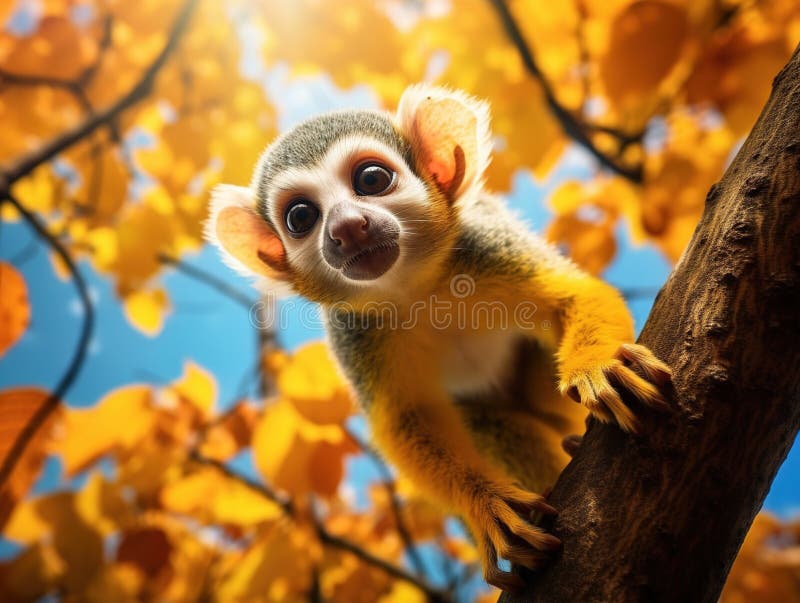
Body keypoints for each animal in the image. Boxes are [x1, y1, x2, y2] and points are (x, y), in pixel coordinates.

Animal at [205, 85, 671, 591]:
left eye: (371, 179)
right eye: (300, 217)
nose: (347, 227)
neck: (415, 288)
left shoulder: (482, 245)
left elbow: (574, 297)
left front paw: (599, 366)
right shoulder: (353, 329)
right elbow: (409, 418)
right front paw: (486, 503)